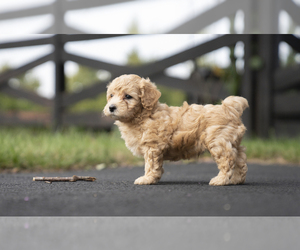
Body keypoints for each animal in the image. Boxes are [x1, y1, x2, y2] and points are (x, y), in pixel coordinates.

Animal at [103, 74, 248, 186]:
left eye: (128, 96)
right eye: (111, 95)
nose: (111, 107)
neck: (143, 115)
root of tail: (230, 108)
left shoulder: (152, 146)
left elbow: (150, 164)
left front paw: (147, 179)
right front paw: (153, 178)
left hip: (218, 141)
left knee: (227, 160)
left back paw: (220, 180)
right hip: (231, 141)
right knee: (240, 159)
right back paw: (236, 179)